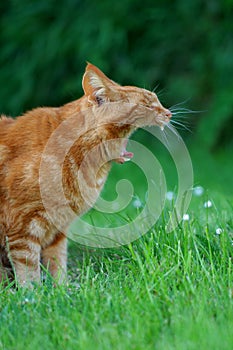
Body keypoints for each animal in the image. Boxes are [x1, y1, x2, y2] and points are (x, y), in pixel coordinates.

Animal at [0, 63, 171, 288]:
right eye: (148, 105)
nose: (169, 113)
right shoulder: (23, 228)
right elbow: (29, 272)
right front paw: (33, 294)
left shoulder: (58, 230)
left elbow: (58, 264)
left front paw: (62, 291)